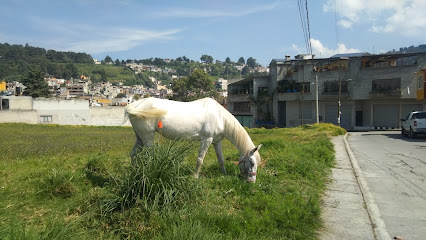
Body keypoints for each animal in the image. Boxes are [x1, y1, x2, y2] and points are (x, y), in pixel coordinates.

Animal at [125, 97, 262, 182]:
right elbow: (200, 160)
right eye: (252, 163)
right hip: (148, 138)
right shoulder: (206, 140)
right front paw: (195, 176)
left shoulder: (216, 142)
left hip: (140, 138)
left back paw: (134, 171)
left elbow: (221, 160)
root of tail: (133, 106)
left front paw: (224, 174)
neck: (219, 117)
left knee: (133, 154)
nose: (251, 181)